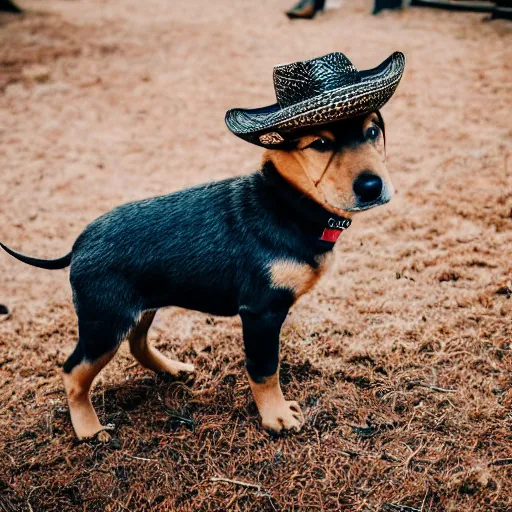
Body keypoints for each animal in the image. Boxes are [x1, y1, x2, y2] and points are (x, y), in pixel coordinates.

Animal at [2, 50, 406, 440]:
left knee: (137, 344)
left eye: (373, 131)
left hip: (141, 305)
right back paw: (88, 429)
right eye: (320, 144)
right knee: (73, 371)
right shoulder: (261, 312)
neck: (288, 202)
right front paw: (276, 418)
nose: (372, 187)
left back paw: (170, 369)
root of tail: (80, 244)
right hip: (104, 320)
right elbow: (264, 370)